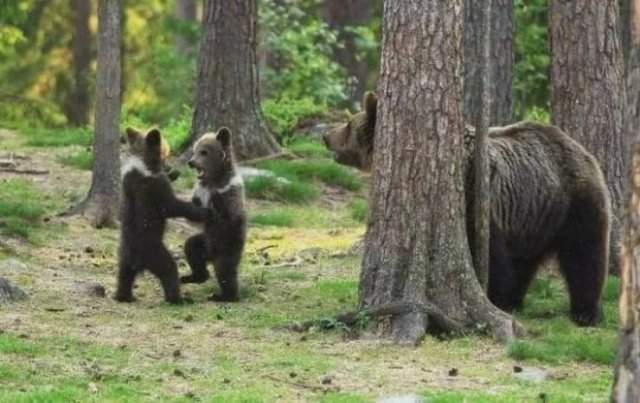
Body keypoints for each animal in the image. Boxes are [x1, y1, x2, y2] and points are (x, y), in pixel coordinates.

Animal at [116, 128, 211, 304]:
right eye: (165, 154)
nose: (171, 168)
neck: (144, 164)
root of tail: (137, 260)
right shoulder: (155, 187)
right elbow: (171, 206)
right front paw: (203, 211)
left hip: (125, 256)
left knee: (124, 276)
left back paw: (124, 296)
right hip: (154, 251)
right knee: (169, 270)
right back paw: (178, 299)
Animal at [182, 128, 250, 302]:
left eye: (204, 152)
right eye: (194, 151)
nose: (191, 162)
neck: (213, 180)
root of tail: (210, 256)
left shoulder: (230, 192)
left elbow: (228, 214)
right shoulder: (200, 191)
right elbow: (194, 215)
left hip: (227, 246)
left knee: (225, 270)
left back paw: (223, 295)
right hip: (205, 241)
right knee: (191, 247)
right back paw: (193, 276)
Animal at [322, 90, 612, 326]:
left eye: (348, 124)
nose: (326, 136)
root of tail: (581, 149)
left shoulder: (477, 202)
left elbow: (491, 258)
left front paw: (493, 297)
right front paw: (501, 299)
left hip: (574, 203)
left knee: (584, 254)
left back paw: (585, 312)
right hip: (534, 215)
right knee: (526, 261)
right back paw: (517, 299)